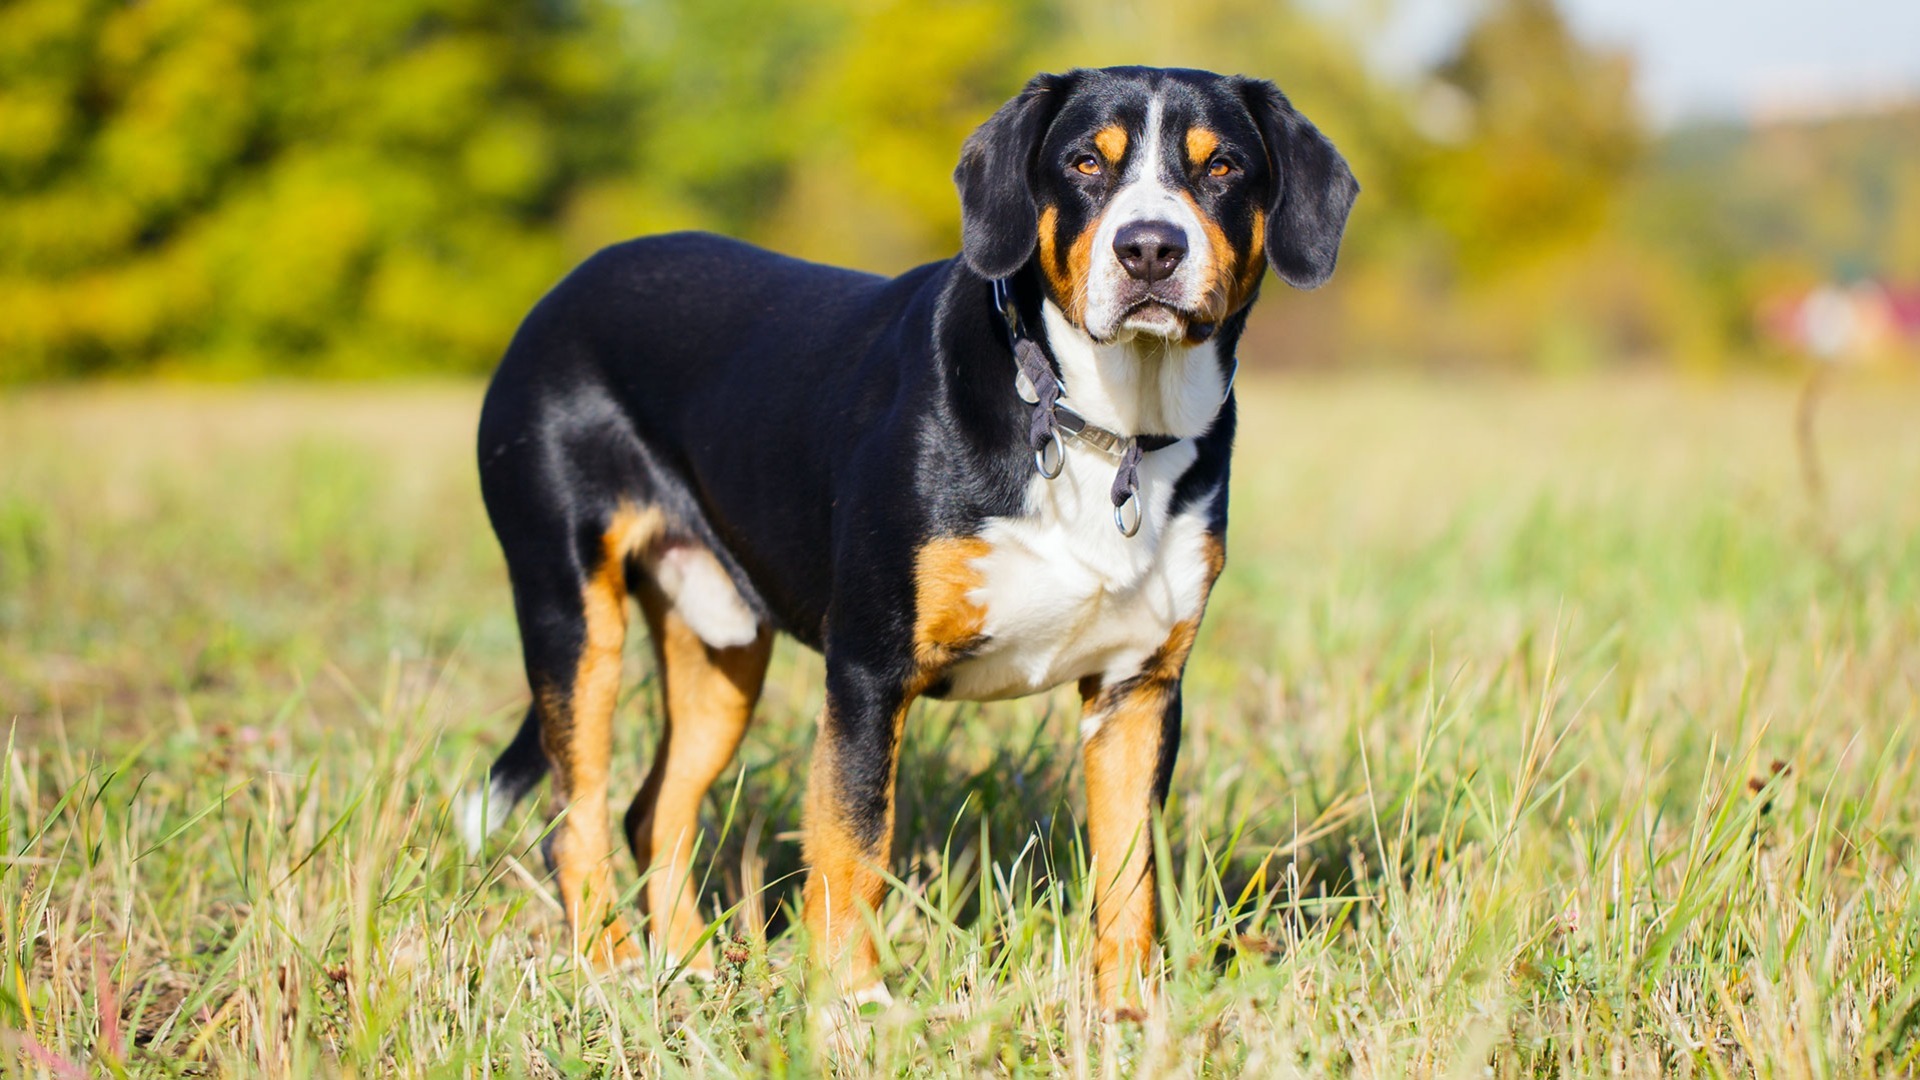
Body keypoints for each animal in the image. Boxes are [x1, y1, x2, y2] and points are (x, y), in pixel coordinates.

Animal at [466, 65, 1359, 1006]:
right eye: (1085, 161)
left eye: (1222, 166)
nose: (1149, 248)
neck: (1100, 426)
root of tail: (563, 292)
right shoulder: (869, 667)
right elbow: (854, 847)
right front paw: (851, 1006)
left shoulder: (1138, 691)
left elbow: (1129, 875)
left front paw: (1127, 1012)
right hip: (572, 612)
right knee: (578, 819)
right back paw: (613, 968)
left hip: (722, 646)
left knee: (653, 812)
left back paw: (686, 971)